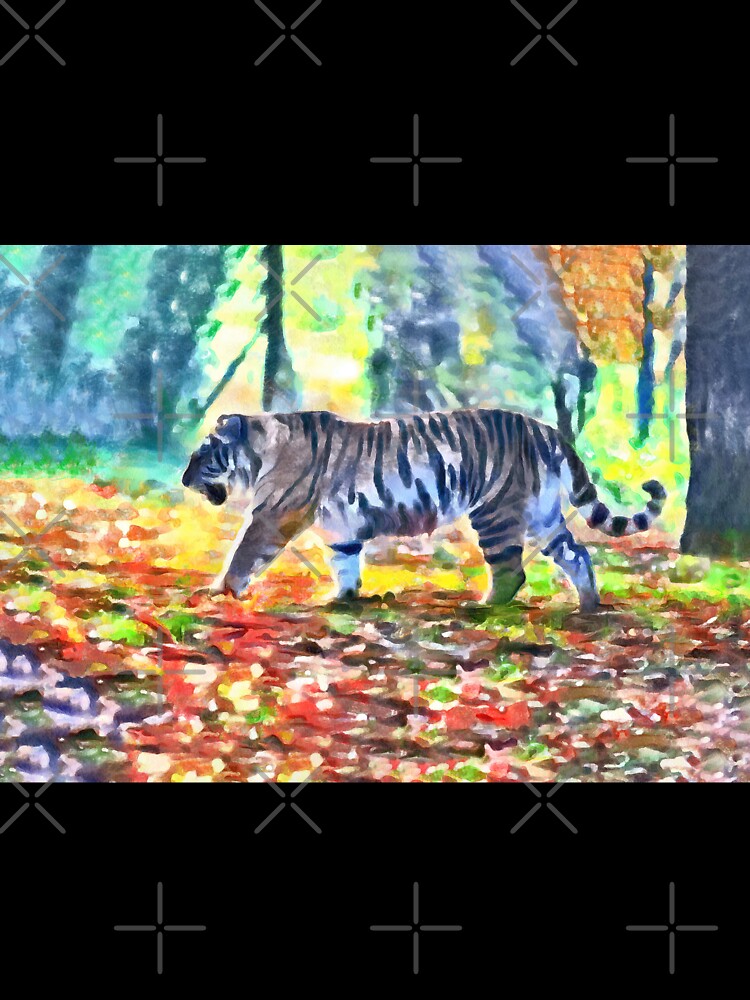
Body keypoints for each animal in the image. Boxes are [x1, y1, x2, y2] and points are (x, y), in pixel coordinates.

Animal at [182, 410, 667, 611]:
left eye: (202, 454)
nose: (183, 481)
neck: (261, 448)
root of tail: (545, 429)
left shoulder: (272, 515)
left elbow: (243, 553)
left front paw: (219, 590)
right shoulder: (341, 531)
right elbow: (344, 563)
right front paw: (341, 598)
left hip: (495, 513)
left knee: (511, 571)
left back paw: (483, 606)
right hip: (544, 516)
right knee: (577, 554)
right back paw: (588, 605)